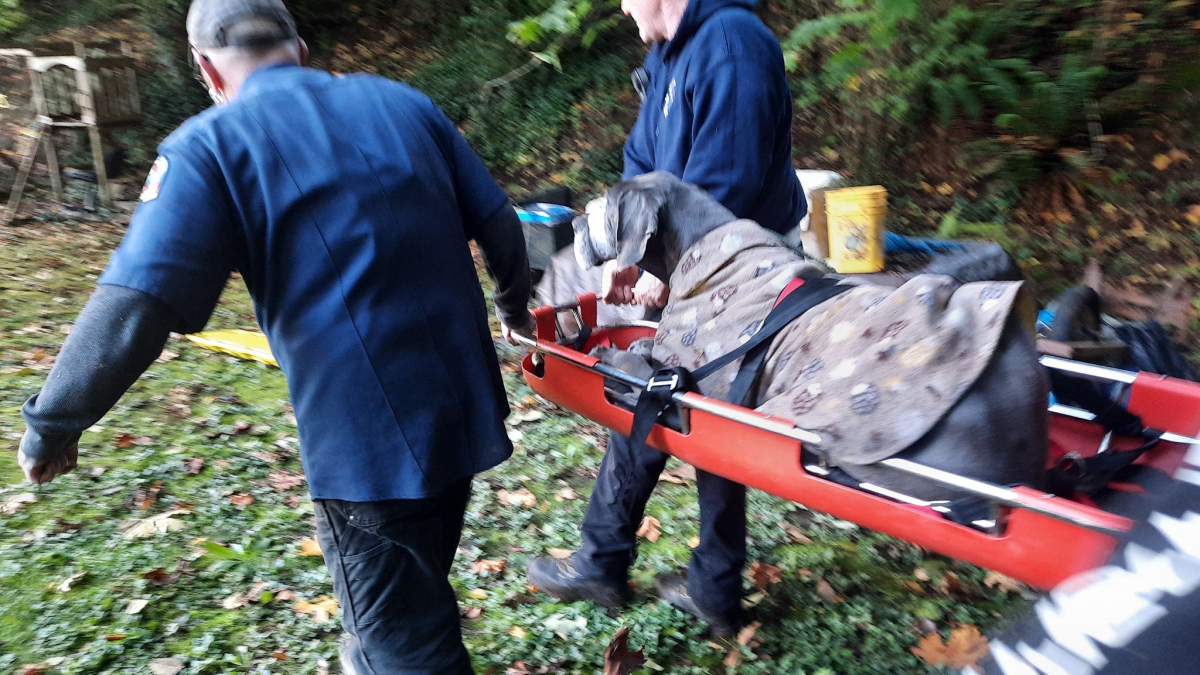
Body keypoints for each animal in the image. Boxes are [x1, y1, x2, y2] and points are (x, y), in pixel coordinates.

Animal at [573, 172, 1051, 499]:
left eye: (603, 207)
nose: (575, 224)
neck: (699, 245)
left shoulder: (693, 395)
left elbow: (642, 371)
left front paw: (615, 355)